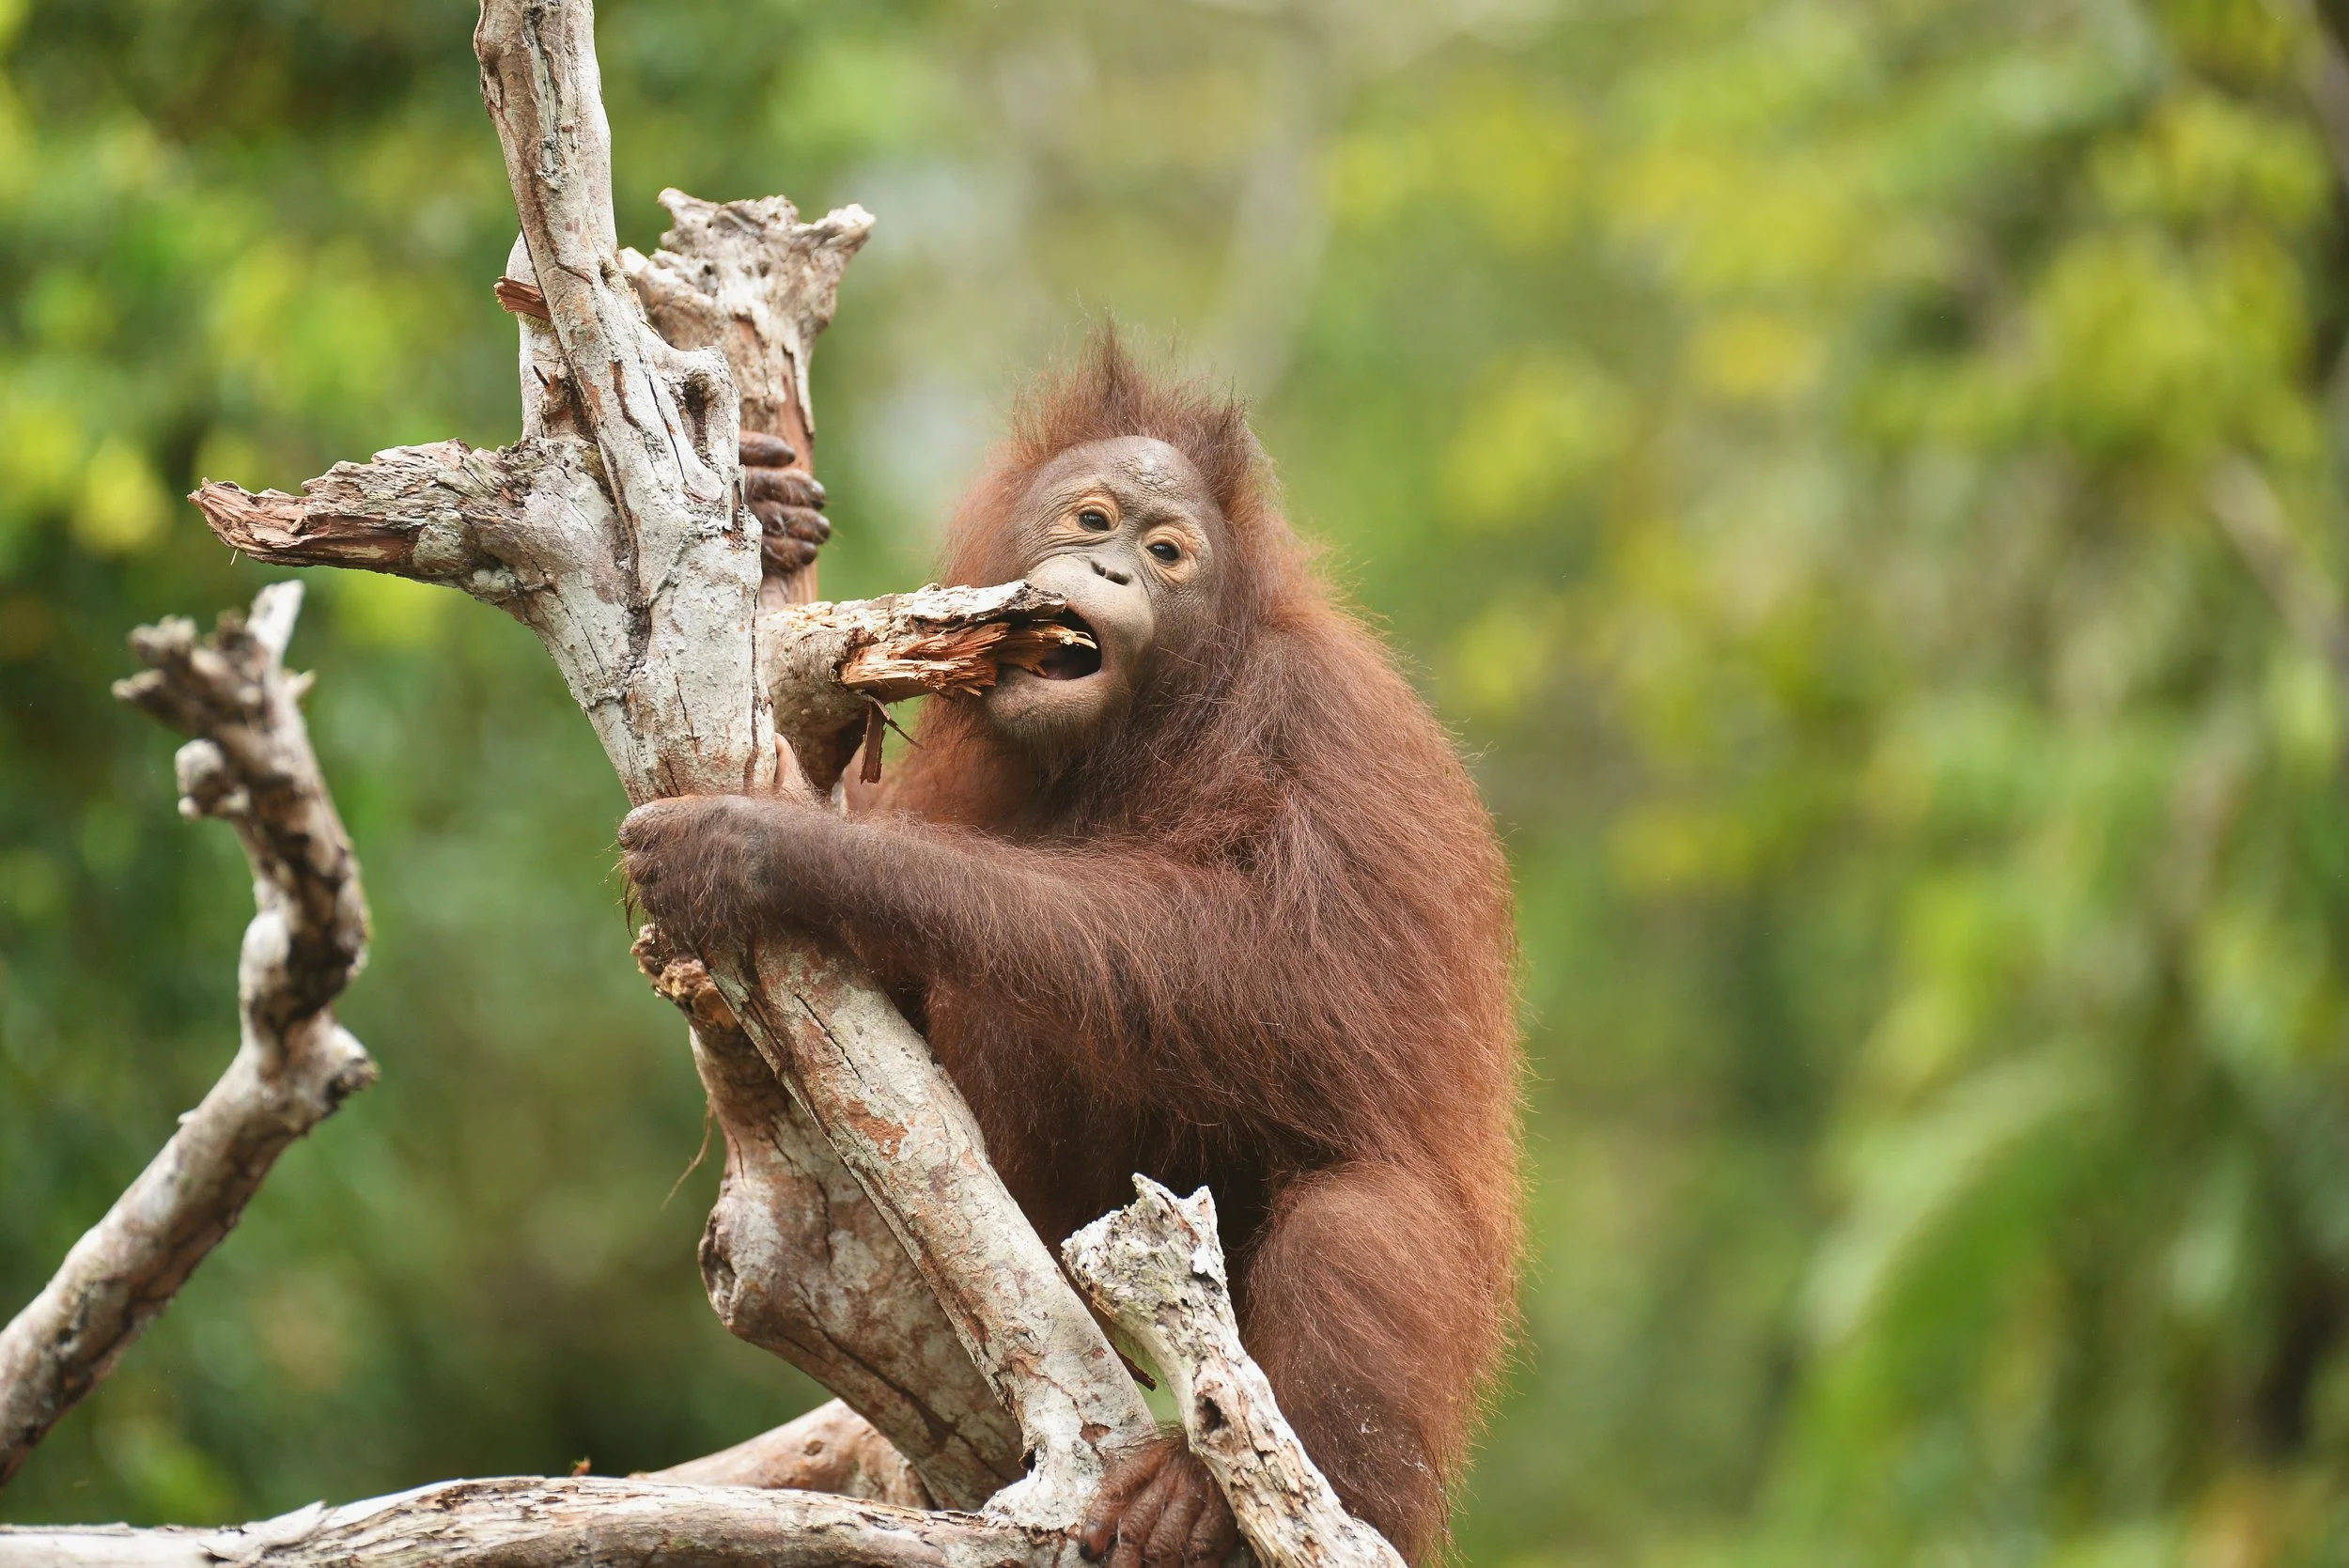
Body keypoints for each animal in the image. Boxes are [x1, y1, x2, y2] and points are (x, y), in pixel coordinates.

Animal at [628, 336, 1520, 1567]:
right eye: (1091, 517)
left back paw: (1214, 1499)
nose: (1111, 571)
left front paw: (773, 848)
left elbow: (1296, 980)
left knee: (1360, 1224)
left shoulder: (1320, 725)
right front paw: (766, 495)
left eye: (1166, 552)